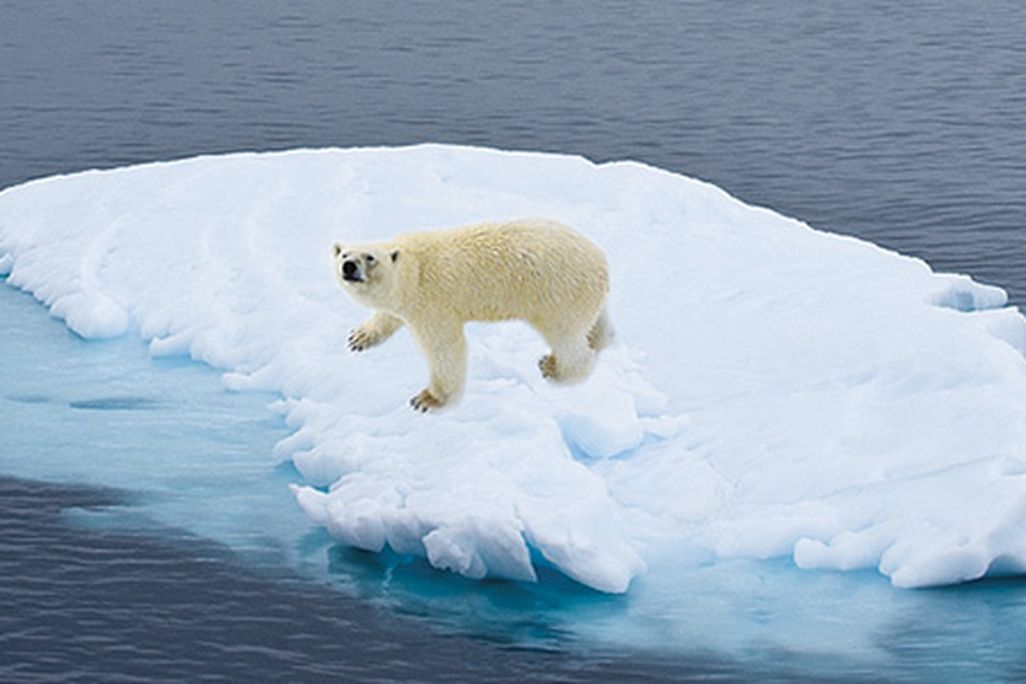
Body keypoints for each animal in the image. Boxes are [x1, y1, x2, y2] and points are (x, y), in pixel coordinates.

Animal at [332, 219, 613, 412]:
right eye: (344, 254)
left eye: (370, 257)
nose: (349, 266)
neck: (414, 268)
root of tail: (601, 259)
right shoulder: (406, 299)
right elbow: (389, 315)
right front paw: (359, 337)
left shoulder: (432, 302)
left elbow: (444, 348)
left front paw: (428, 399)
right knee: (596, 327)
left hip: (558, 294)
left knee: (567, 338)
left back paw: (556, 370)